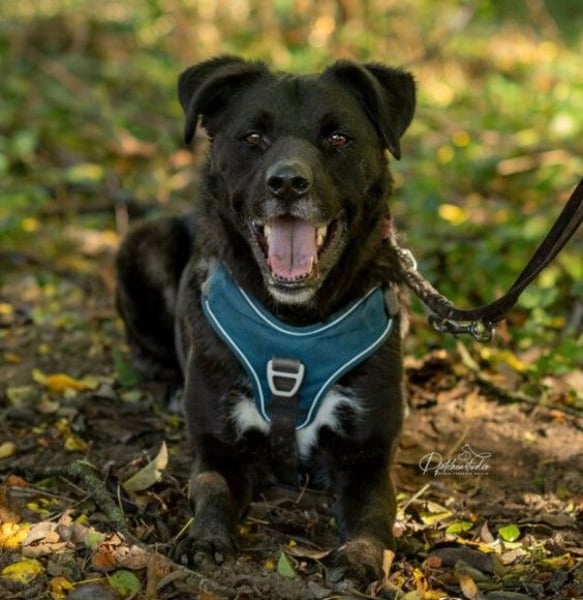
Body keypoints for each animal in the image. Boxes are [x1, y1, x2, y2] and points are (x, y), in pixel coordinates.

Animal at [115, 55, 415, 586]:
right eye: (253, 137)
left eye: (338, 138)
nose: (288, 183)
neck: (293, 324)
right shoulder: (219, 447)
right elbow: (212, 490)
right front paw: (208, 540)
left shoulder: (367, 455)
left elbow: (374, 512)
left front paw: (360, 556)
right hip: (142, 242)